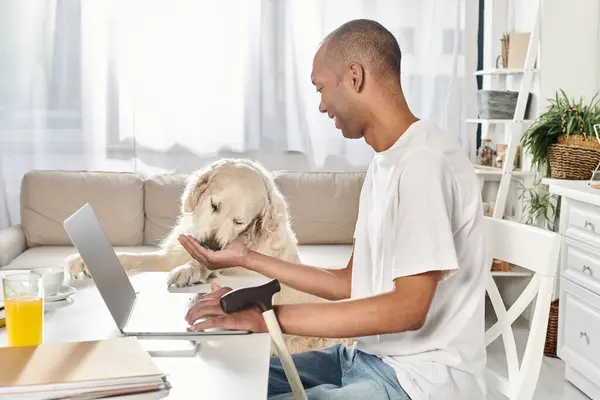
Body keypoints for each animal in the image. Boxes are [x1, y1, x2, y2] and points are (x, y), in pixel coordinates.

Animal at [67, 159, 352, 354]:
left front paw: (191, 270)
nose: (211, 246)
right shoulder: (170, 254)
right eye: (215, 205)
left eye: (240, 222)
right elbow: (134, 258)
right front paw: (82, 261)